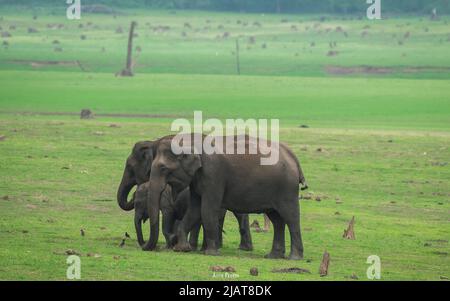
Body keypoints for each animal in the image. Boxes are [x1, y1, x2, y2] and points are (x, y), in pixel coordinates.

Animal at [116, 141, 253, 251]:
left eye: (130, 167)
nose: (144, 243)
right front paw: (172, 243)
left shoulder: (167, 201)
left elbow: (168, 216)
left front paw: (171, 242)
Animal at [142, 134, 308, 258]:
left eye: (163, 168)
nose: (145, 247)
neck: (193, 141)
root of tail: (293, 157)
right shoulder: (198, 180)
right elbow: (194, 210)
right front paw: (182, 249)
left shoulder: (214, 174)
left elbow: (208, 209)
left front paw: (211, 253)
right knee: (277, 220)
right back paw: (273, 256)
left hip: (287, 189)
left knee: (291, 217)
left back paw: (294, 257)